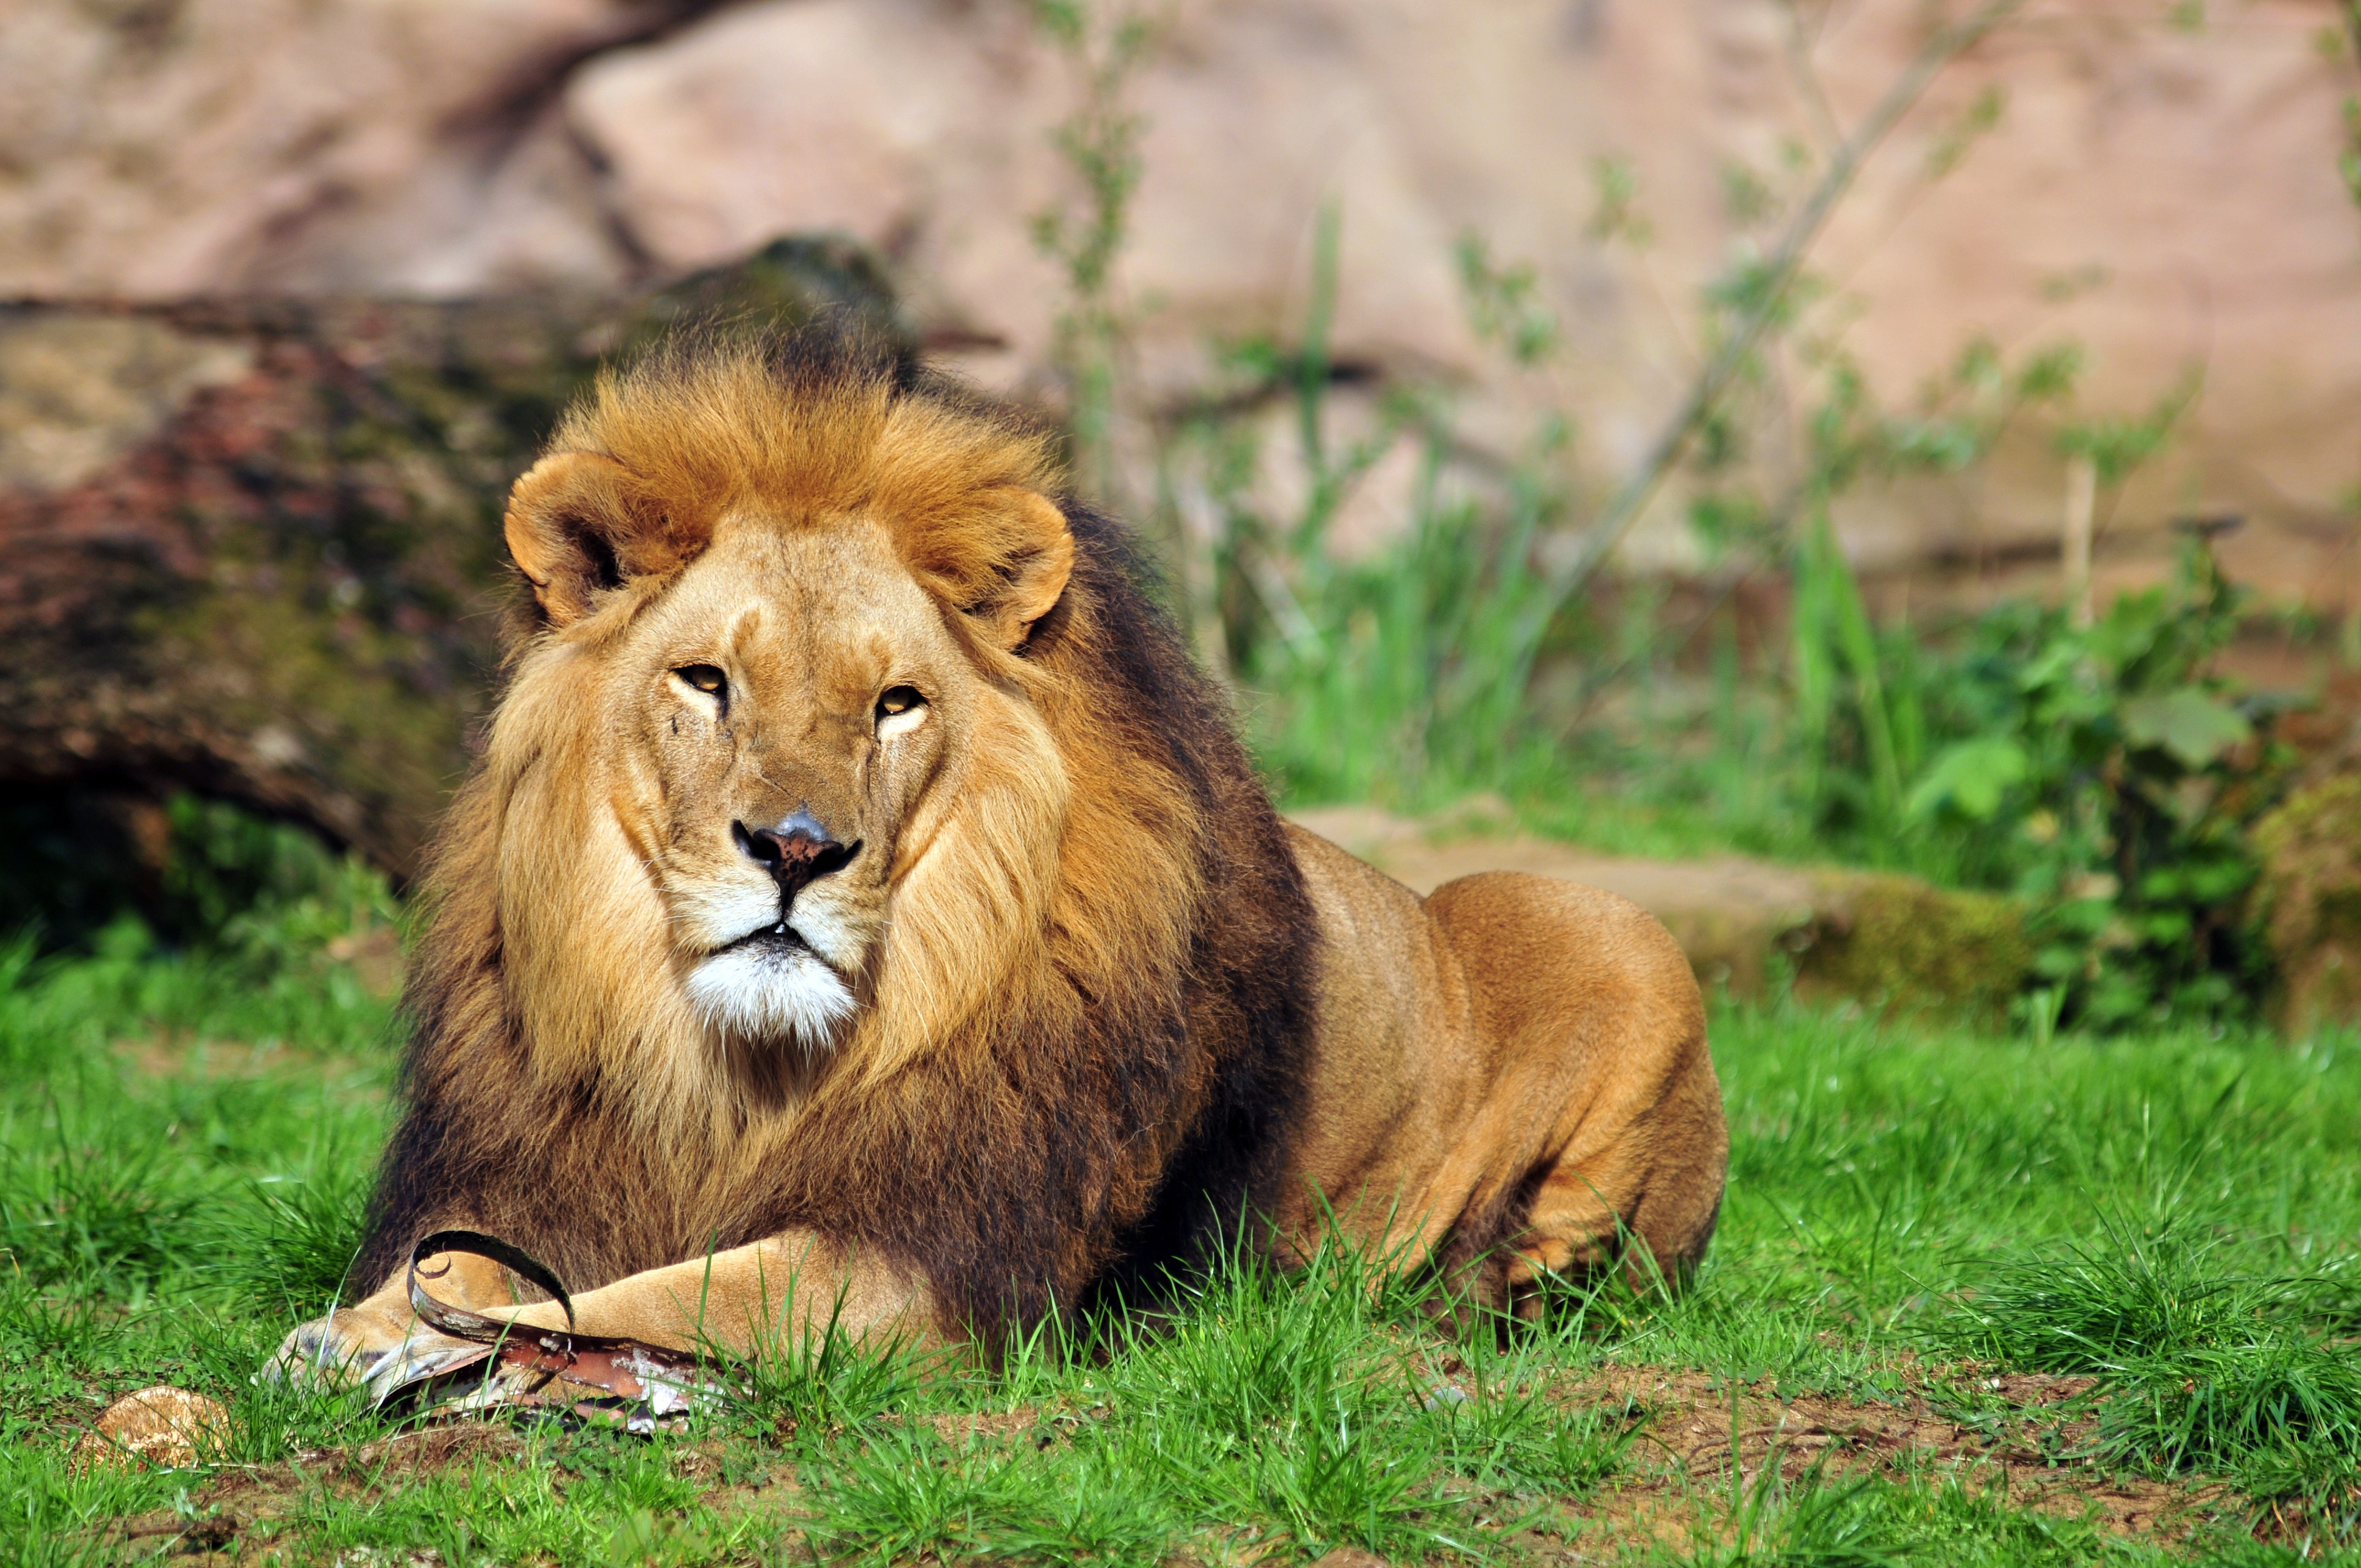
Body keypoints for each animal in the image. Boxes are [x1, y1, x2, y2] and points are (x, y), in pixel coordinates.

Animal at [278, 329, 1726, 1392]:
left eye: (895, 703)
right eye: (706, 680)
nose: (795, 849)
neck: (733, 1071)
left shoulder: (924, 1264)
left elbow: (668, 1291)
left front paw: (444, 1347)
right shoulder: (552, 1162)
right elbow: (477, 1264)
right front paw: (364, 1323)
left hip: (1607, 927)